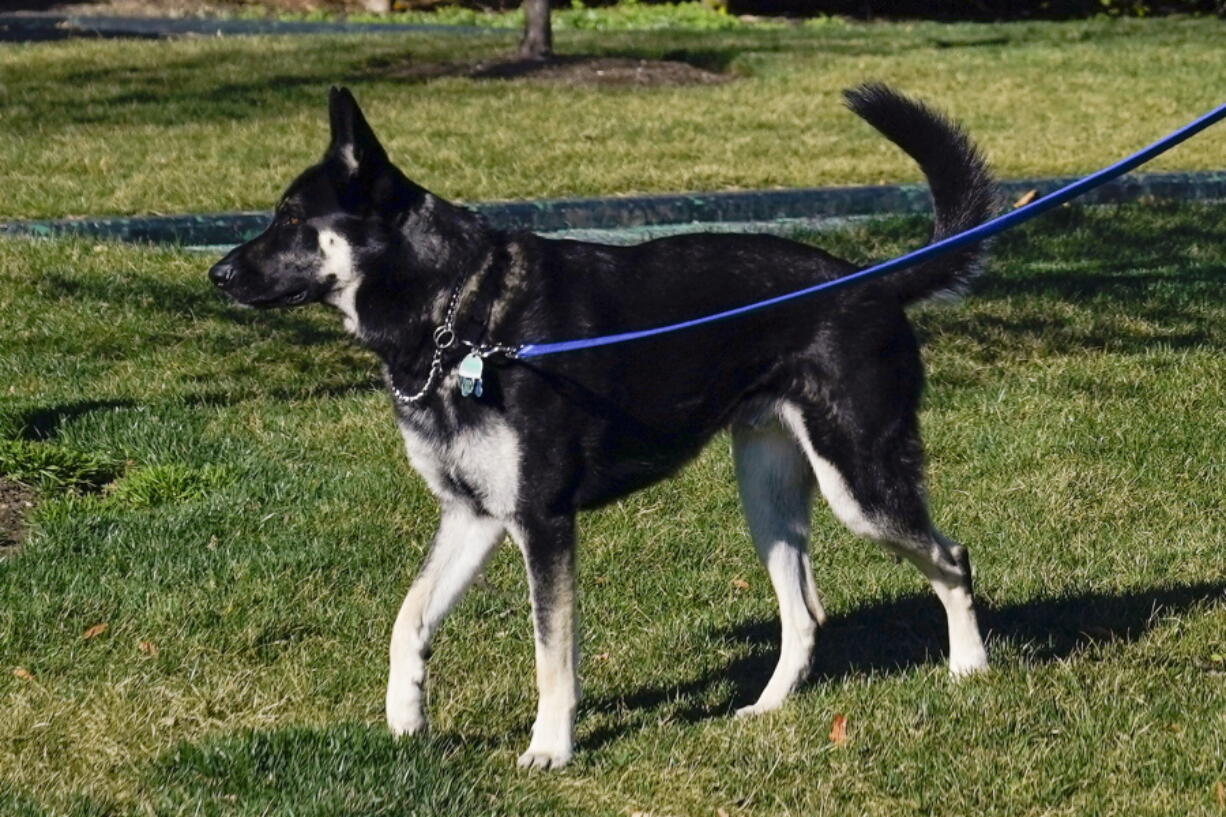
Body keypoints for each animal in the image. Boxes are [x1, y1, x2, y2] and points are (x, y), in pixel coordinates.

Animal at [208, 85, 995, 765]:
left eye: (291, 219)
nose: (217, 275)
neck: (458, 312)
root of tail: (875, 282)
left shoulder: (541, 520)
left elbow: (551, 653)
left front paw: (550, 749)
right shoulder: (472, 513)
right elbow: (410, 620)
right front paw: (406, 717)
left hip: (860, 485)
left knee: (951, 559)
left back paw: (970, 667)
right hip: (767, 495)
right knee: (804, 613)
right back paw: (765, 709)